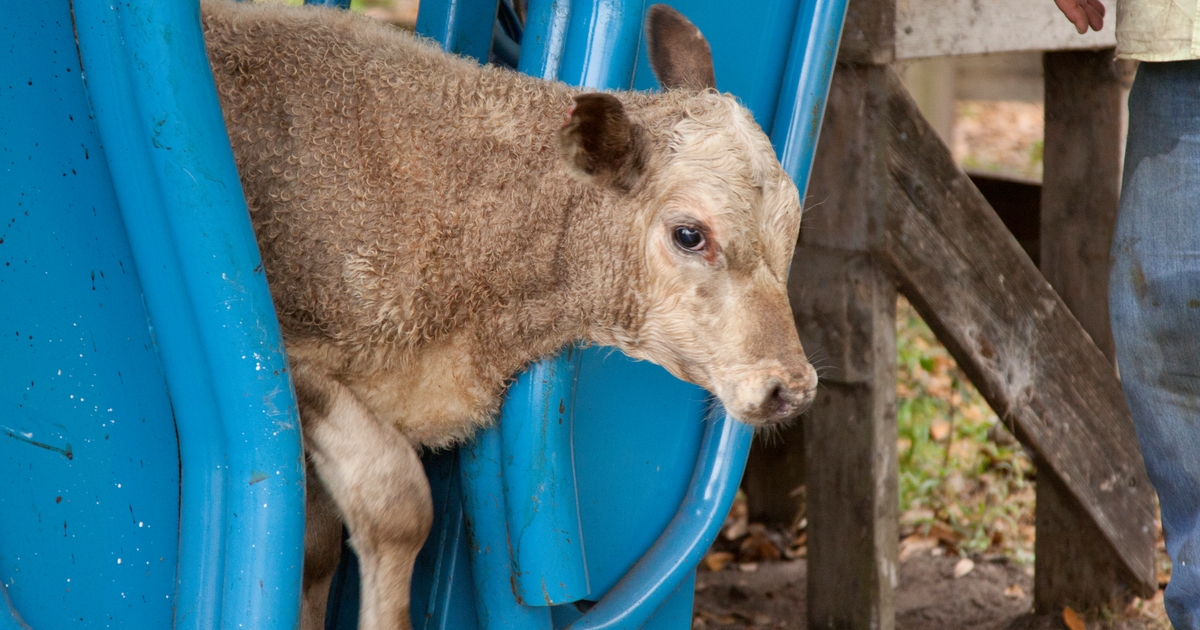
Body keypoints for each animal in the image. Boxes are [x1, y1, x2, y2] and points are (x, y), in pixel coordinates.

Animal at [201, 2, 820, 624]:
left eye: (793, 230)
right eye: (689, 235)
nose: (790, 386)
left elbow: (320, 551)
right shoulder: (288, 354)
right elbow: (395, 504)